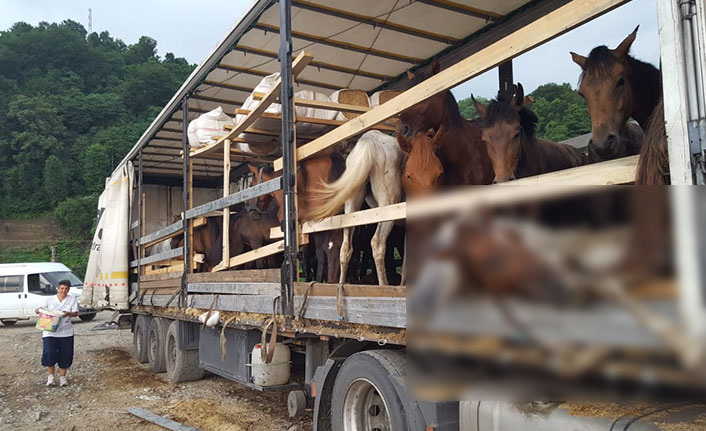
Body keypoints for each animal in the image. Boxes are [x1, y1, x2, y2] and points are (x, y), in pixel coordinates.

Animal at [310, 132, 404, 286]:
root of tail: (369, 142)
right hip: (388, 206)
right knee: (377, 243)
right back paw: (385, 286)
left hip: (351, 205)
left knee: (345, 248)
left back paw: (341, 284)